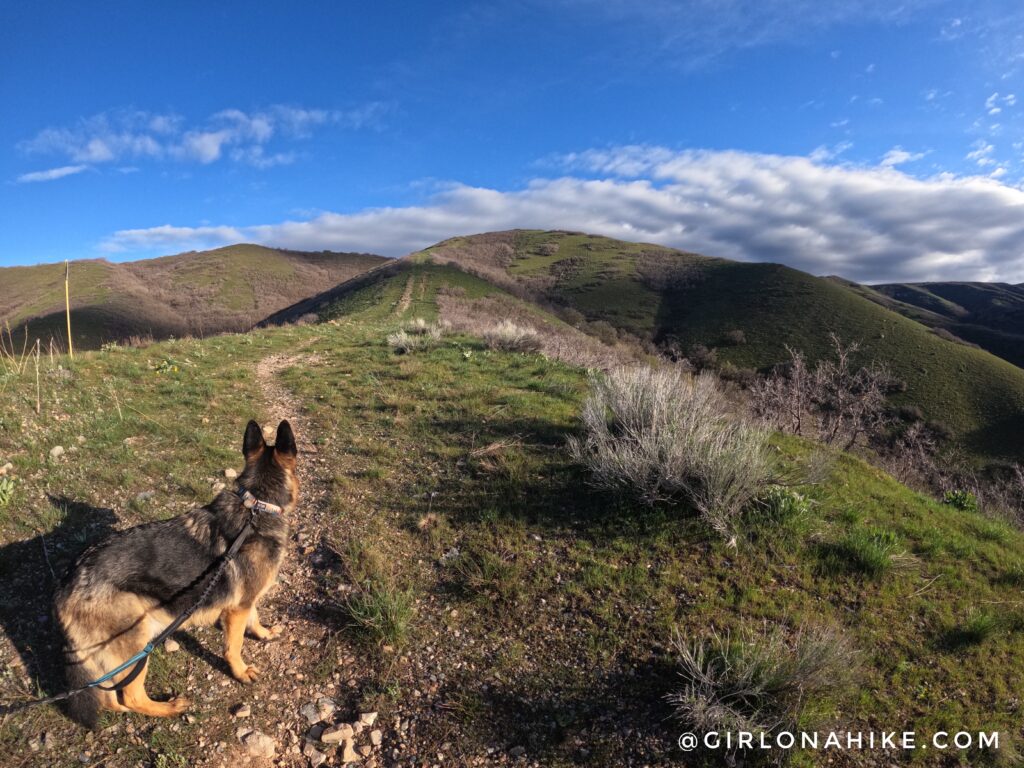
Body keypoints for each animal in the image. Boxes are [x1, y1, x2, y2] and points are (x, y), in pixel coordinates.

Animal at [54, 421, 299, 729]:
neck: (257, 505)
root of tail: (67, 586)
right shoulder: (238, 609)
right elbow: (234, 645)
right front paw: (241, 672)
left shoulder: (246, 602)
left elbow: (255, 619)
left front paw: (264, 633)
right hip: (137, 642)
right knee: (131, 696)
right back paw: (169, 707)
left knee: (110, 697)